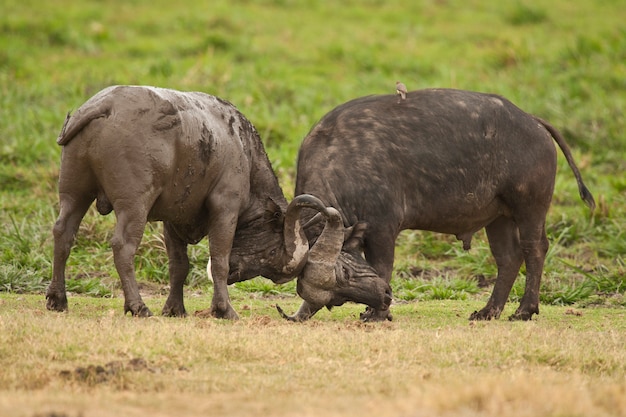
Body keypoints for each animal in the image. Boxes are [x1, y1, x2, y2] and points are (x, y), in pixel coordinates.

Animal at [46, 84, 390, 318]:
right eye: (274, 255)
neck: (242, 150)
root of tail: (104, 105)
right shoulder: (225, 208)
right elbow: (220, 260)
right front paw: (224, 309)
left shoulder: (172, 220)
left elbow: (179, 266)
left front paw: (175, 309)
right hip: (135, 204)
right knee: (123, 246)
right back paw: (138, 305)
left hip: (74, 194)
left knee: (63, 234)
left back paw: (58, 299)